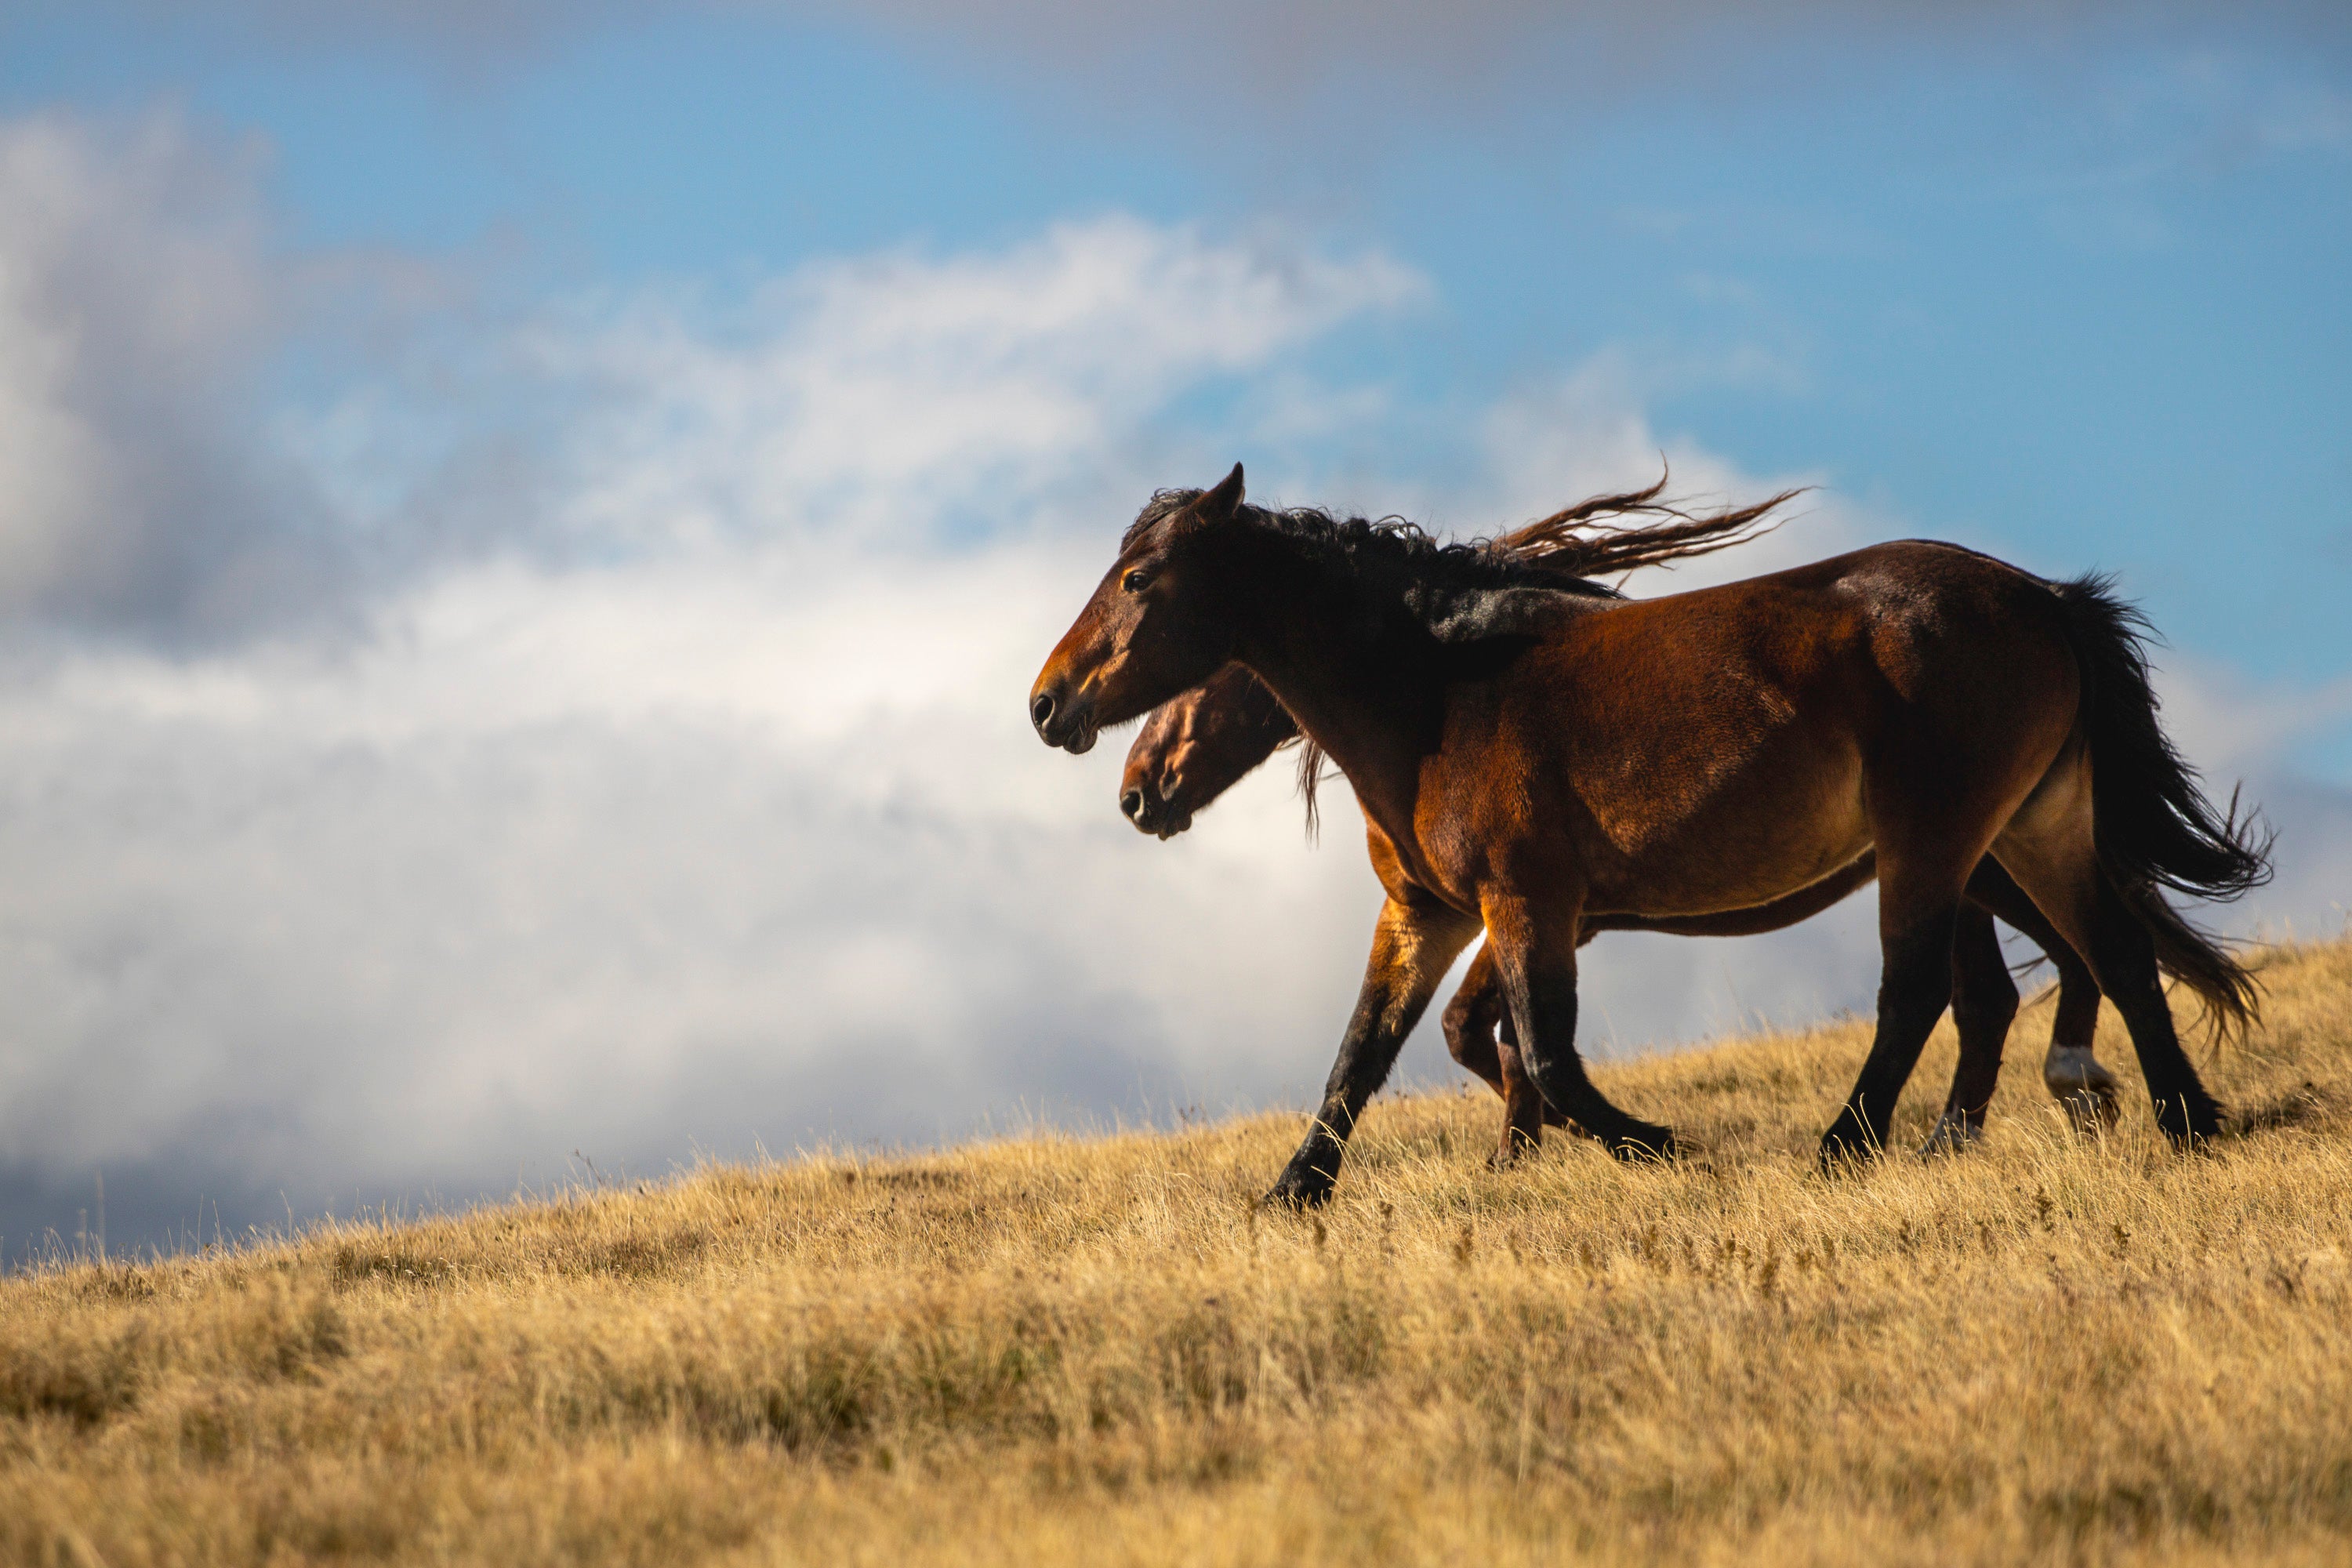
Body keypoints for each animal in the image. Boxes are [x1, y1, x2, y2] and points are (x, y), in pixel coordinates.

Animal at [1120, 660, 2120, 1163]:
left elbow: (1484, 1029)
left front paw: (1536, 1141)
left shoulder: (1541, 912)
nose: (1136, 794)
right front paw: (1529, 1144)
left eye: (1192, 686)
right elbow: (1478, 1030)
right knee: (2018, 981)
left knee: (2074, 953)